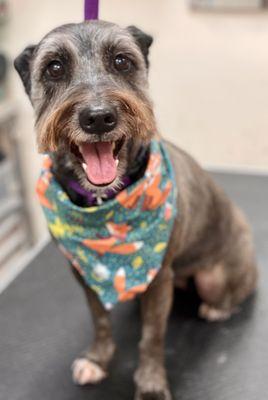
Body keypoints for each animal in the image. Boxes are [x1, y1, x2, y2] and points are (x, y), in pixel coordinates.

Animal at [14, 19, 258, 400]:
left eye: (121, 61)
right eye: (54, 67)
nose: (99, 117)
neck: (103, 205)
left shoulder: (160, 279)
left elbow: (152, 338)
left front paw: (151, 385)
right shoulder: (83, 272)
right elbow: (99, 320)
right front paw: (97, 360)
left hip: (214, 278)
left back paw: (218, 308)